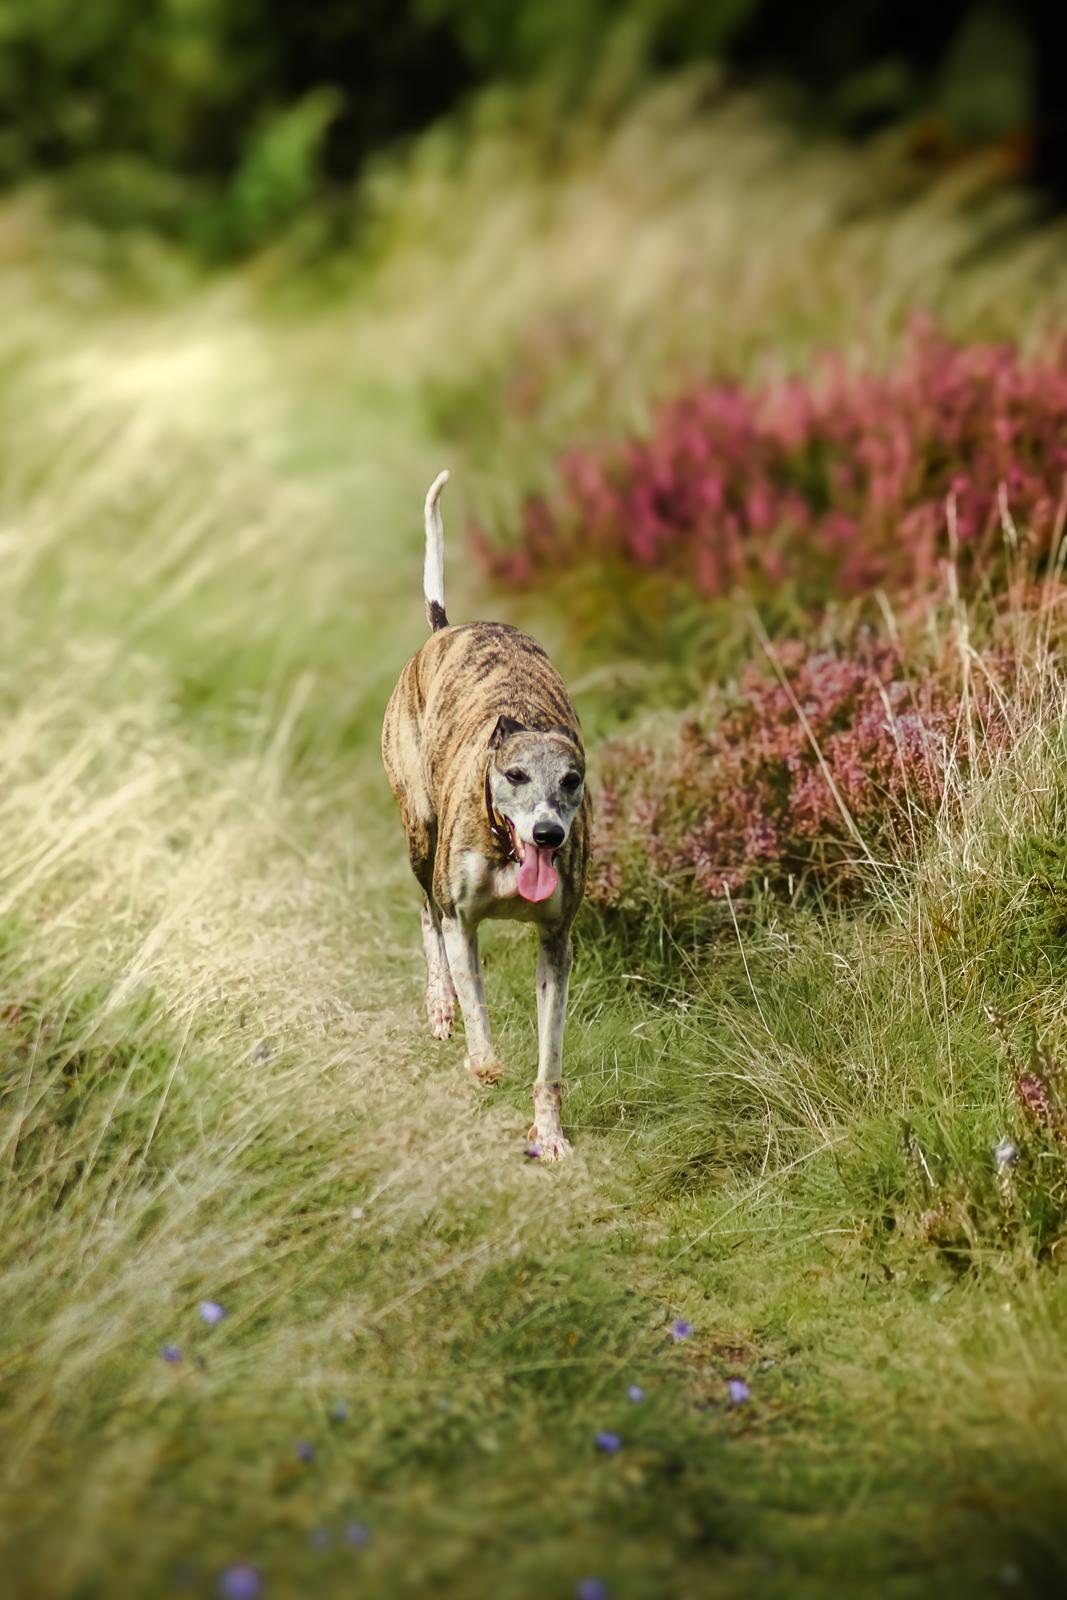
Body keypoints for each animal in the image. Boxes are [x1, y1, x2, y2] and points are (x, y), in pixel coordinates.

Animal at [382, 467, 591, 1158]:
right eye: (514, 776)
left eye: (572, 781)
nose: (547, 834)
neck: (506, 849)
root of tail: (445, 628)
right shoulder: (462, 920)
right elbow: (476, 1000)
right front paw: (482, 1061)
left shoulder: (556, 942)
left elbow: (550, 1057)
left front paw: (548, 1133)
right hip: (420, 833)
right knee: (425, 912)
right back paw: (439, 1003)